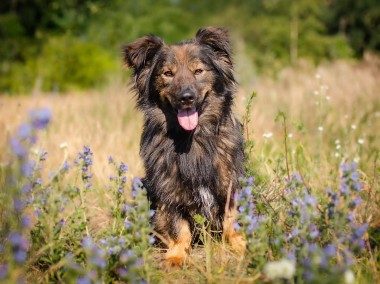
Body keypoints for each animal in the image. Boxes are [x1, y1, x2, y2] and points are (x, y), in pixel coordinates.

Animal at [123, 27, 245, 268]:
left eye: (198, 71)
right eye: (167, 73)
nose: (186, 98)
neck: (191, 139)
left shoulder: (231, 182)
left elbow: (231, 221)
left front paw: (240, 243)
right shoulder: (168, 189)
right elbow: (178, 227)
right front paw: (176, 255)